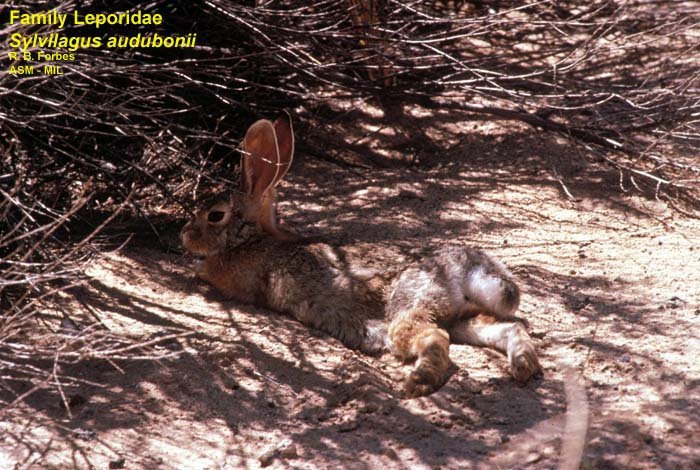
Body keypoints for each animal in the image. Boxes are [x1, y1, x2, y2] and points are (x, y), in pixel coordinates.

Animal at [181, 111, 542, 396]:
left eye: (215, 215)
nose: (185, 234)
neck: (252, 238)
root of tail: (462, 269)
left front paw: (194, 270)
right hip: (462, 318)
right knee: (507, 327)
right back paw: (523, 366)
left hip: (409, 308)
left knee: (435, 337)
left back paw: (418, 383)